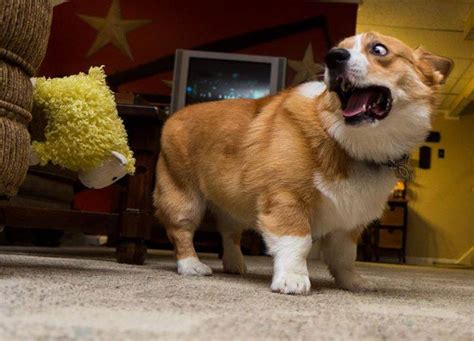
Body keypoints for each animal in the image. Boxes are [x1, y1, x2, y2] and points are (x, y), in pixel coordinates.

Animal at [155, 31, 452, 294]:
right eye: (338, 47)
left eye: (379, 49)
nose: (333, 57)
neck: (348, 143)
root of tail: (175, 115)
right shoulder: (287, 200)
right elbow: (298, 243)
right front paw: (293, 279)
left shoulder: (349, 223)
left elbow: (345, 257)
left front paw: (352, 282)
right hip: (184, 198)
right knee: (180, 232)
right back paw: (191, 265)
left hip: (232, 205)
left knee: (229, 234)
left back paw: (235, 264)